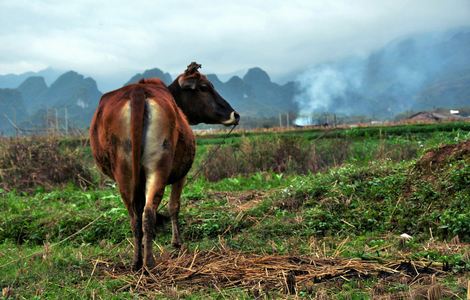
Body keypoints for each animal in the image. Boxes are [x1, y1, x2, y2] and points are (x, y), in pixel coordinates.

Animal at [90, 62, 241, 270]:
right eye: (204, 87)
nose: (235, 114)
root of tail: (138, 92)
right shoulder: (181, 175)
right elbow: (174, 206)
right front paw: (177, 242)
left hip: (124, 174)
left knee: (135, 217)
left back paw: (136, 262)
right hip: (159, 167)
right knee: (149, 213)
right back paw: (149, 263)